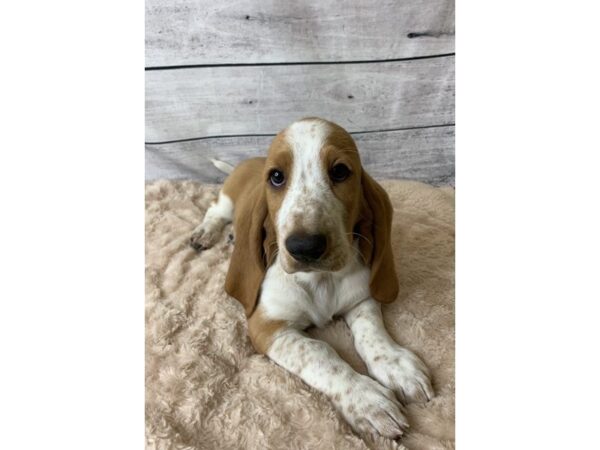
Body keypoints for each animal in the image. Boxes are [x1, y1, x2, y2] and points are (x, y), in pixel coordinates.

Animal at [190, 117, 434, 440]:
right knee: (213, 211)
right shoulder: (268, 329)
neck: (319, 280)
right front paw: (367, 400)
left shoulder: (361, 298)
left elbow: (372, 333)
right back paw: (206, 233)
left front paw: (397, 365)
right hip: (227, 200)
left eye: (340, 171)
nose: (304, 246)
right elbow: (320, 353)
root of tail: (251, 160)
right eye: (277, 177)